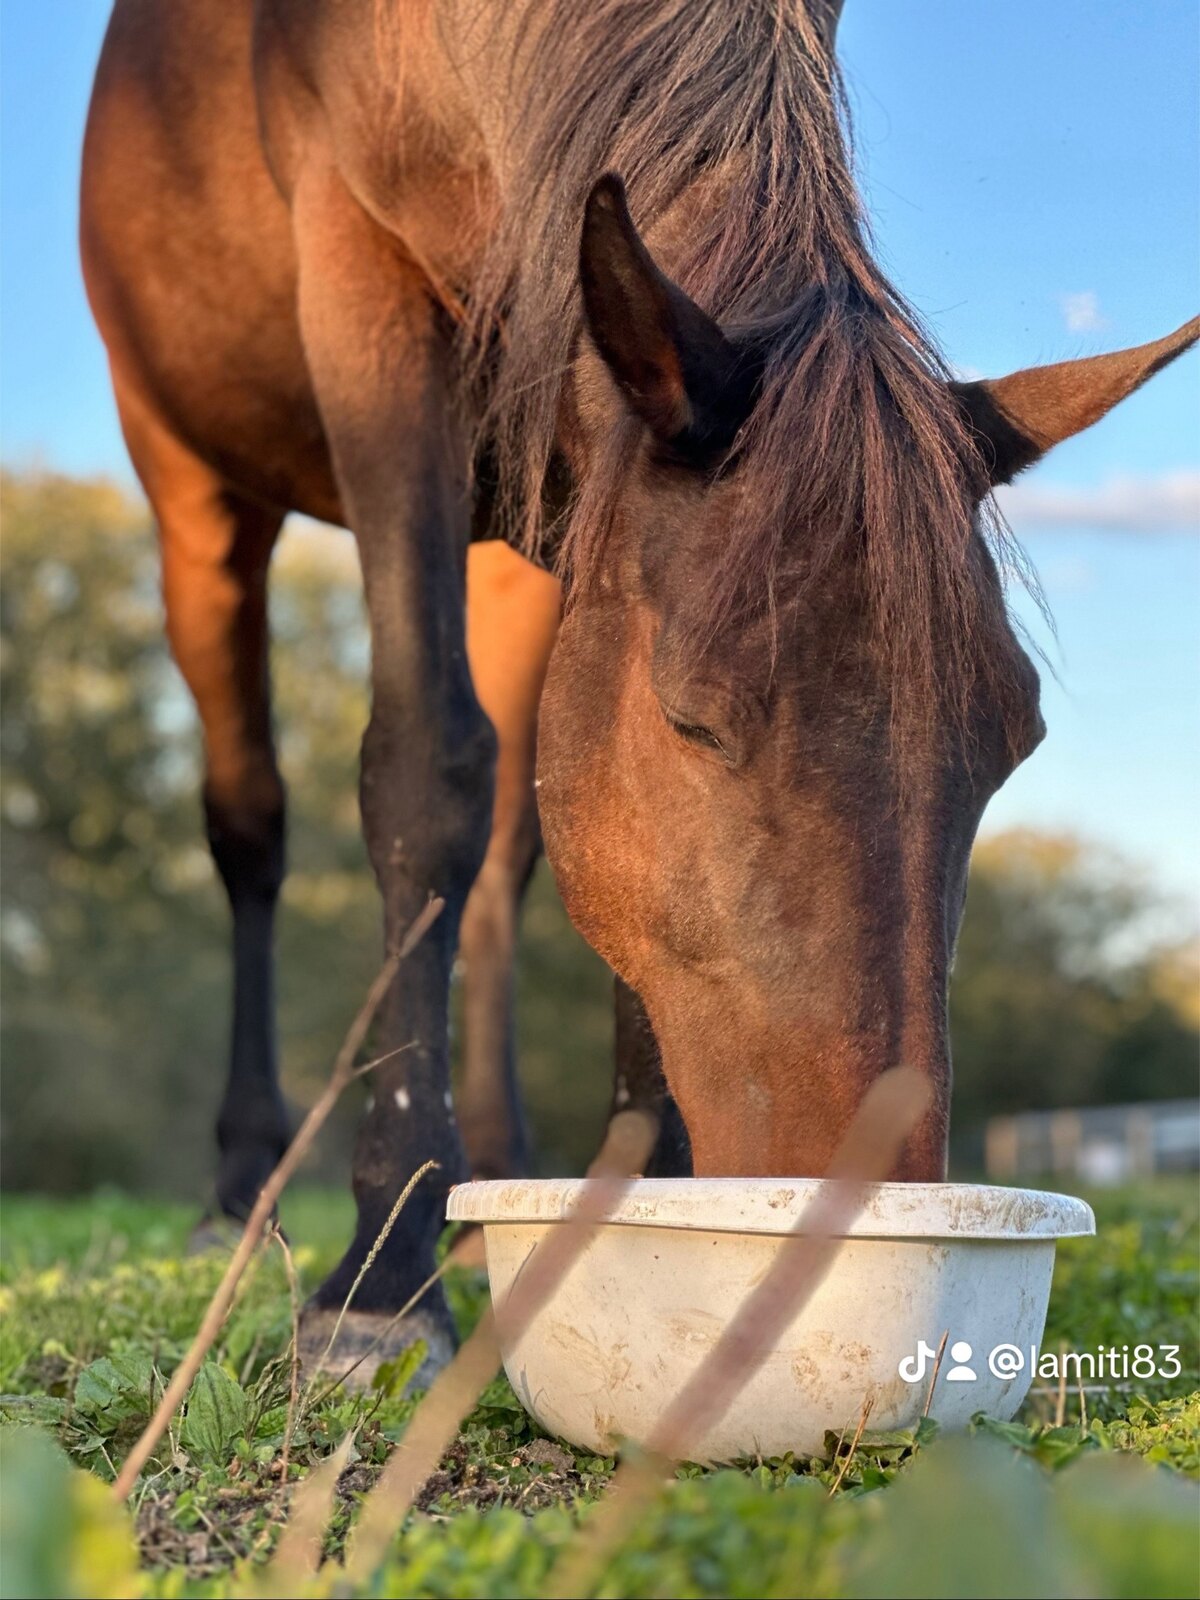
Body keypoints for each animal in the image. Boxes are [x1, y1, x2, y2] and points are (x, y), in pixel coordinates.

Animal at [81, 0, 1197, 1380]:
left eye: (1016, 740)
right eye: (691, 716)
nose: (852, 1213)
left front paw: (625, 1204)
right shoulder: (365, 294)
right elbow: (420, 767)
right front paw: (381, 1275)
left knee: (502, 851)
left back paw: (485, 1182)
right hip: (194, 485)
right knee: (251, 822)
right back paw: (243, 1186)